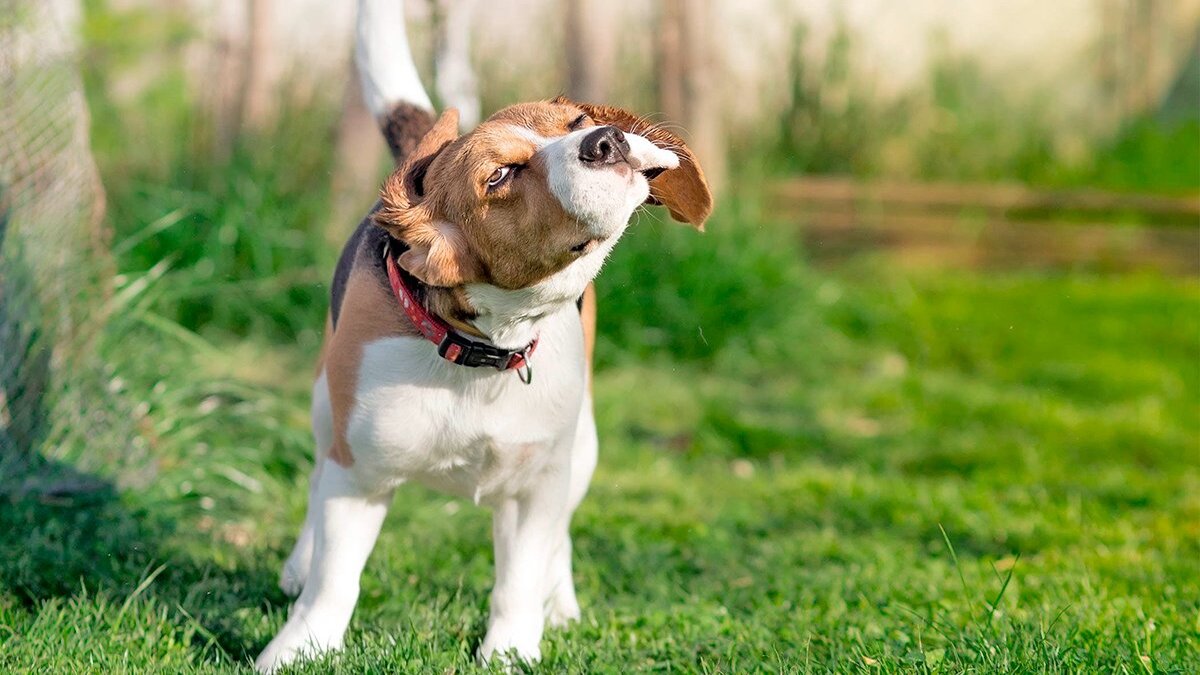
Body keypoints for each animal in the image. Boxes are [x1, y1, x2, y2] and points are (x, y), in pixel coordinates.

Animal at [250, 2, 700, 667]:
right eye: (501, 176)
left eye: (578, 121)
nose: (605, 140)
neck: (478, 354)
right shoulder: (357, 475)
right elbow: (335, 578)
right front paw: (298, 650)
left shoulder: (534, 486)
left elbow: (519, 580)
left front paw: (510, 655)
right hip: (323, 411)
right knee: (314, 486)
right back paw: (298, 564)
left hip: (582, 446)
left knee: (560, 538)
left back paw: (560, 604)